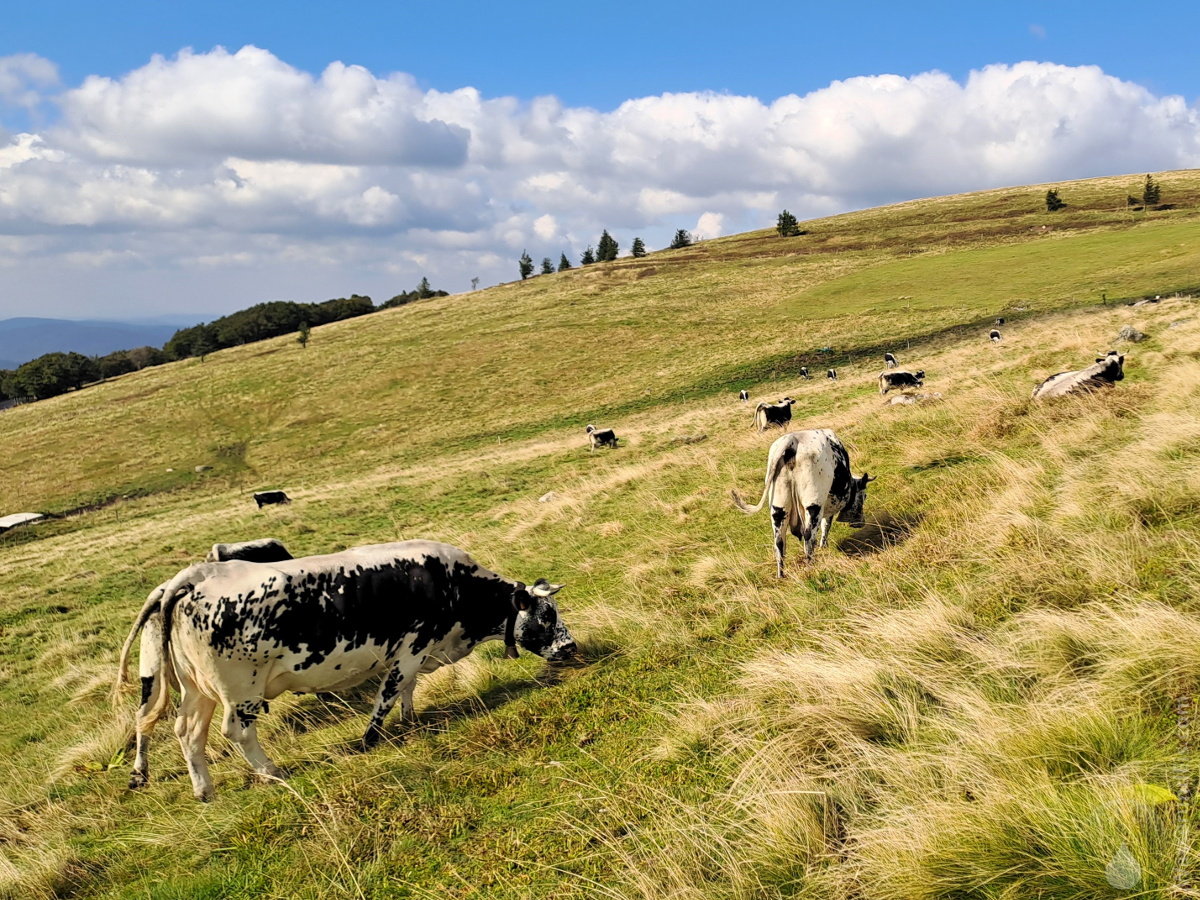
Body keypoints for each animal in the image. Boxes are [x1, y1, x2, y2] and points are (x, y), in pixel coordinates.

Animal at [115, 540, 576, 801]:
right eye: (547, 615)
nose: (570, 647)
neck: (453, 586)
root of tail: (194, 576)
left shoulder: (415, 652)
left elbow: (407, 691)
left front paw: (413, 721)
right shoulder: (410, 648)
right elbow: (388, 695)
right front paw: (370, 740)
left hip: (197, 690)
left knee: (186, 732)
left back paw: (203, 789)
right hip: (240, 689)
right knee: (237, 732)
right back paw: (270, 772)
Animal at [731, 429, 875, 576]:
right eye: (864, 496)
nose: (860, 523)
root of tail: (792, 440)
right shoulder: (825, 506)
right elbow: (826, 525)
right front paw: (824, 546)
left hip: (778, 508)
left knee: (779, 541)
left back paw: (781, 575)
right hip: (813, 505)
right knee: (808, 536)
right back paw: (810, 567)